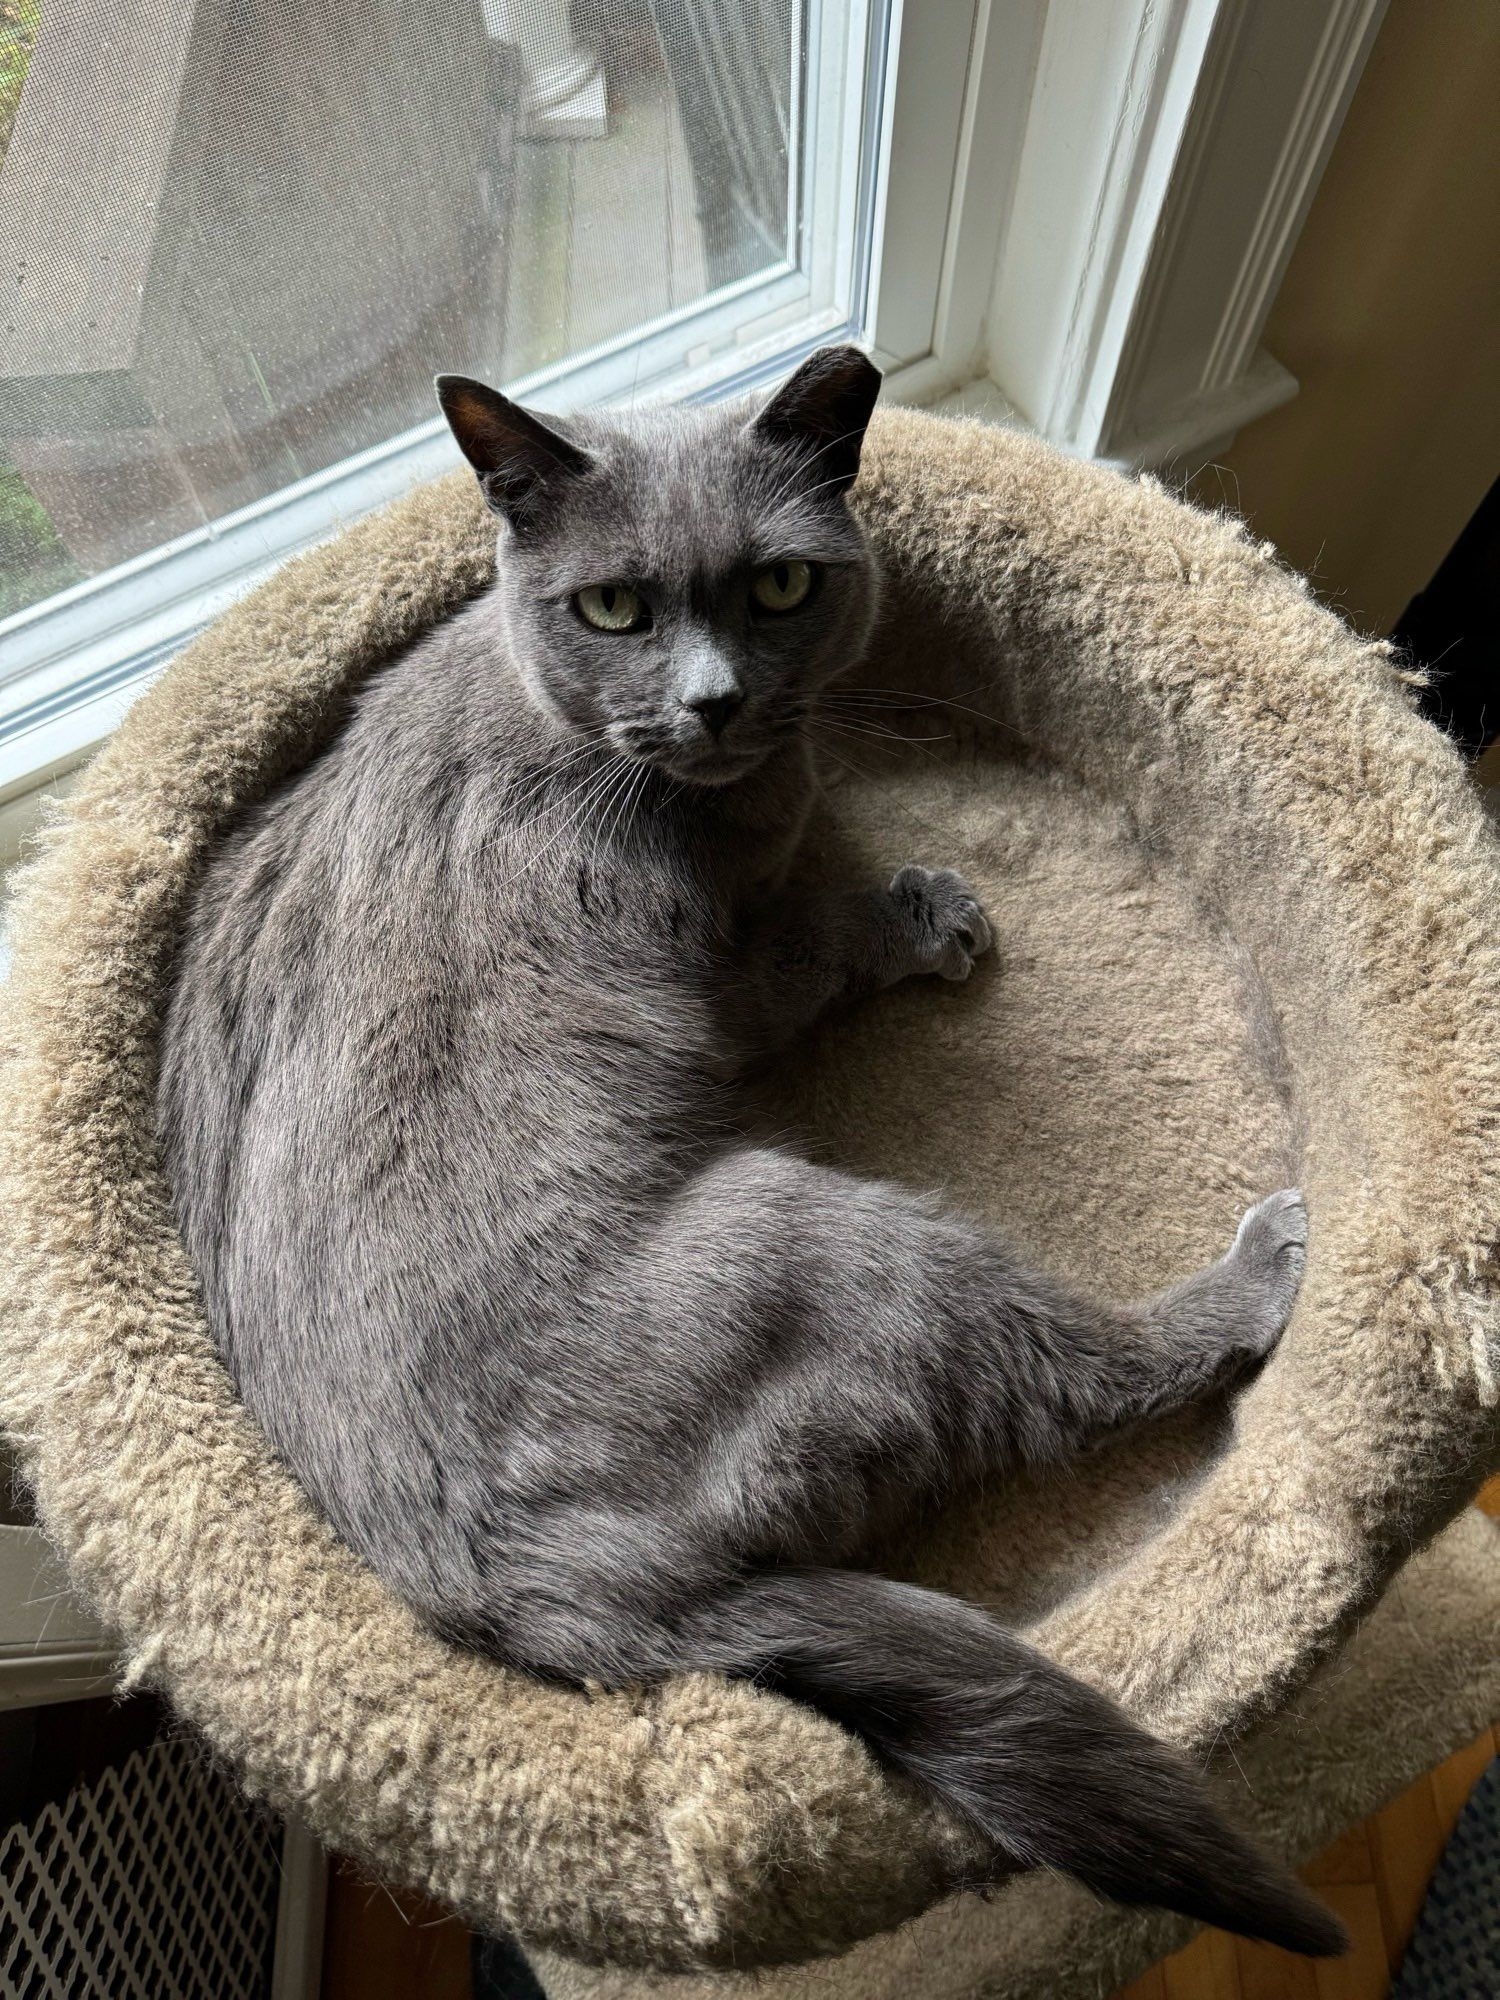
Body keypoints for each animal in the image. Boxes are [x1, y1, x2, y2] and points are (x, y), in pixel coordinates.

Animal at [159, 348, 1344, 1952]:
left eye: (781, 584)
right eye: (613, 607)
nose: (715, 702)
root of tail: (565, 1604)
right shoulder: (727, 976)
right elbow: (820, 944)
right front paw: (922, 913)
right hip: (838, 1242)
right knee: (1078, 1380)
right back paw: (1264, 1260)